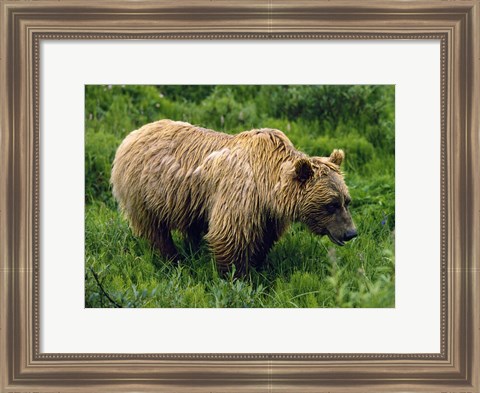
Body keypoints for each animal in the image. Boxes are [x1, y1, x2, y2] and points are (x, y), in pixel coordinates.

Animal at [110, 119, 354, 276]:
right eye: (331, 204)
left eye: (346, 201)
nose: (351, 232)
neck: (268, 185)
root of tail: (133, 134)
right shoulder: (240, 193)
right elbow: (230, 235)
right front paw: (236, 277)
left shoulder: (268, 213)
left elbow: (263, 239)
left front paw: (258, 266)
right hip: (144, 192)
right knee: (155, 230)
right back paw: (172, 258)